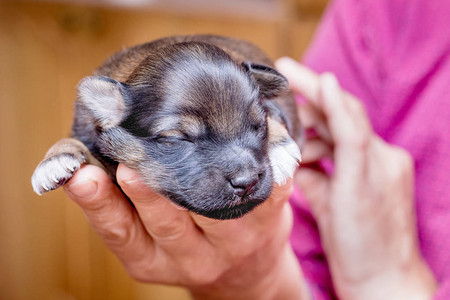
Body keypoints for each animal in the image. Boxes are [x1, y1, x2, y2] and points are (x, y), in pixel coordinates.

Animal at [29, 35, 300, 219]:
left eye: (257, 125)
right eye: (177, 138)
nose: (247, 182)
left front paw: (279, 146)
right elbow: (75, 142)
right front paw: (55, 158)